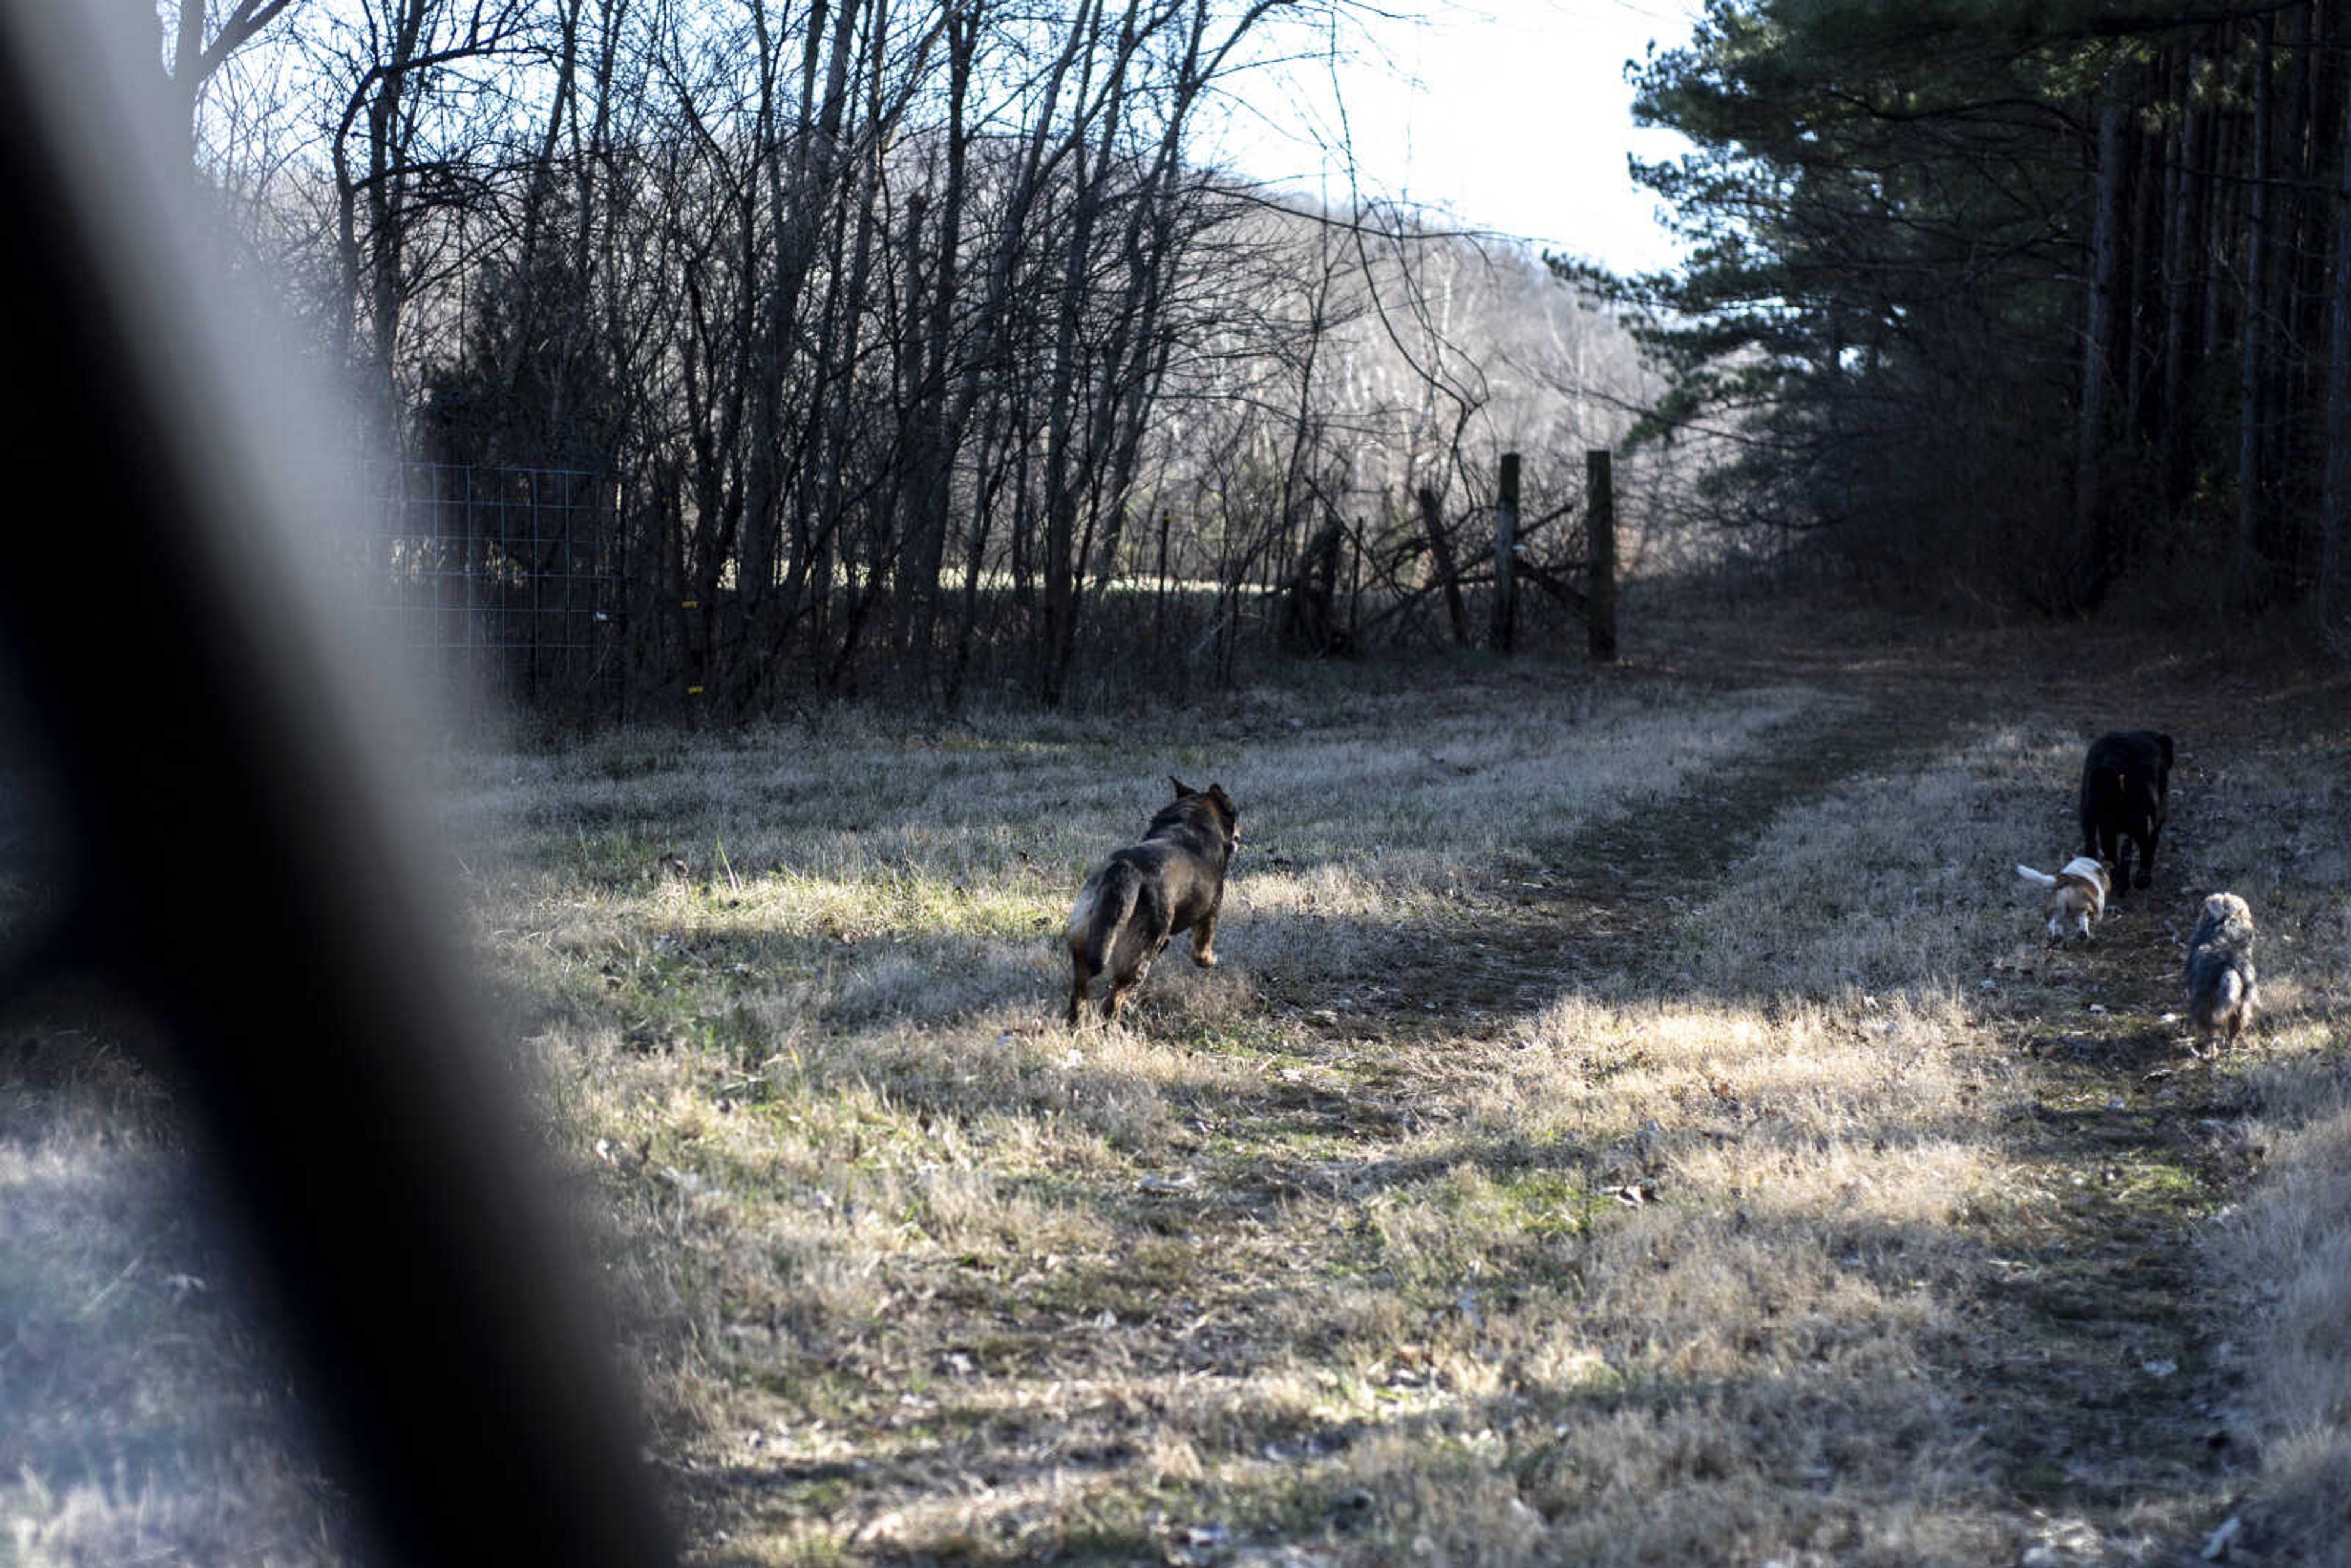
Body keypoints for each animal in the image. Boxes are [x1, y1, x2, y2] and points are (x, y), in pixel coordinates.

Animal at [1072, 776, 1241, 1025]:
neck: (1191, 818)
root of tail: (1125, 868)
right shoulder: (1211, 912)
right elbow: (1201, 950)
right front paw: (1210, 960)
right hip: (1138, 955)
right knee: (1113, 1001)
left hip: (1086, 943)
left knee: (1080, 993)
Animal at [2022, 860, 2116, 945]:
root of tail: (2065, 879)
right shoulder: (2098, 910)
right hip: (2083, 907)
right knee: (2082, 922)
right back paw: (2083, 936)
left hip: (2057, 910)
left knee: (2053, 923)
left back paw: (2057, 937)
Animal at [2181, 893, 2257, 1053]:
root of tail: (2227, 967)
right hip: (2242, 1006)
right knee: (2233, 1030)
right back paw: (2230, 1048)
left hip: (2205, 1005)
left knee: (2209, 1030)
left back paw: (2209, 1049)